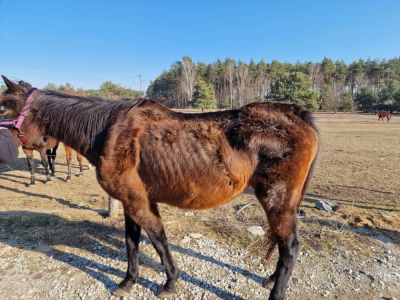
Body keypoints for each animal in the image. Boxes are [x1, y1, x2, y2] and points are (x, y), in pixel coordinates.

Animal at [0, 77, 318, 300]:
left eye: (3, 105)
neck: (108, 130)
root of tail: (297, 113)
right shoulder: (131, 201)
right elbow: (132, 243)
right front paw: (128, 282)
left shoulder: (139, 202)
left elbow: (158, 241)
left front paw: (169, 283)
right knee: (284, 244)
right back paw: (272, 279)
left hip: (276, 200)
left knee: (290, 246)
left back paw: (276, 291)